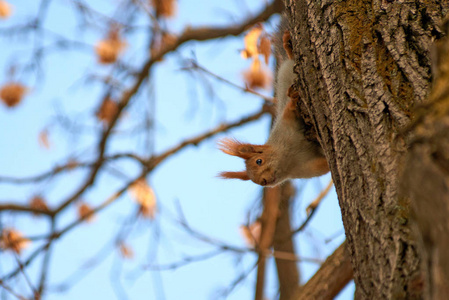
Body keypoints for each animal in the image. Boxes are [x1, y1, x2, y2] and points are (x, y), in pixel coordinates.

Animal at [218, 19, 328, 186]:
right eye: (257, 182)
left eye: (259, 161)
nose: (264, 181)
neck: (289, 157)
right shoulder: (306, 169)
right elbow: (325, 167)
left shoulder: (285, 122)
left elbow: (290, 108)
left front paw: (293, 98)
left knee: (292, 60)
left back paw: (287, 44)